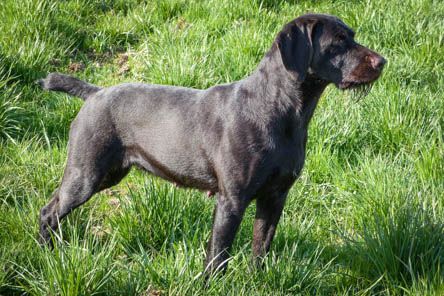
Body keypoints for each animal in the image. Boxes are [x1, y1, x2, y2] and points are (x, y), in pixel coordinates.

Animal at [37, 13, 386, 272]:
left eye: (352, 35)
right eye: (338, 43)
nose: (382, 61)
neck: (279, 111)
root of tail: (94, 93)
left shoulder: (275, 196)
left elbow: (261, 246)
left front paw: (257, 279)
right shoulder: (232, 199)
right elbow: (218, 254)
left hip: (109, 175)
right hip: (86, 174)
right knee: (48, 212)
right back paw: (46, 254)